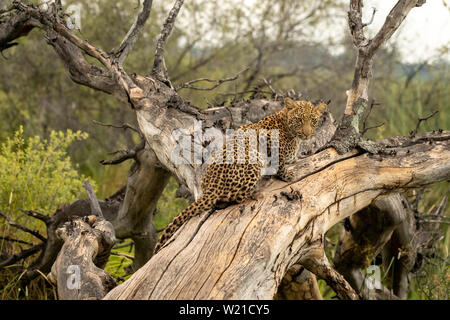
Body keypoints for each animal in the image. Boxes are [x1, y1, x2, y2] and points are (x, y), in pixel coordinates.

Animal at [155, 97, 326, 252]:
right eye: (299, 119)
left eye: (313, 120)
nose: (307, 134)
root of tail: (212, 185)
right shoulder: (267, 141)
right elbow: (280, 163)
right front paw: (288, 174)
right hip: (253, 158)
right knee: (235, 197)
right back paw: (256, 193)